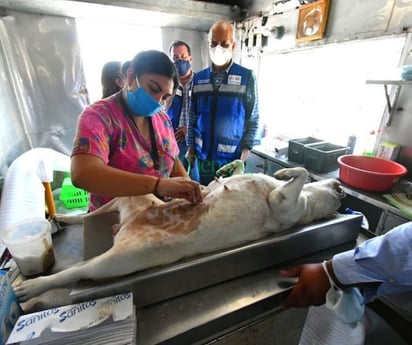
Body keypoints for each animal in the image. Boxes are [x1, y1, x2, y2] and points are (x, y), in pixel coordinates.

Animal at [14, 163, 344, 300]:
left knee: (78, 270)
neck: (310, 203)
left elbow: (298, 176)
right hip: (133, 197)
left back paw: (32, 287)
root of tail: (127, 226)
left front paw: (287, 172)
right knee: (90, 216)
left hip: (119, 260)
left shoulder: (284, 204)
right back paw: (64, 218)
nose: (340, 186)